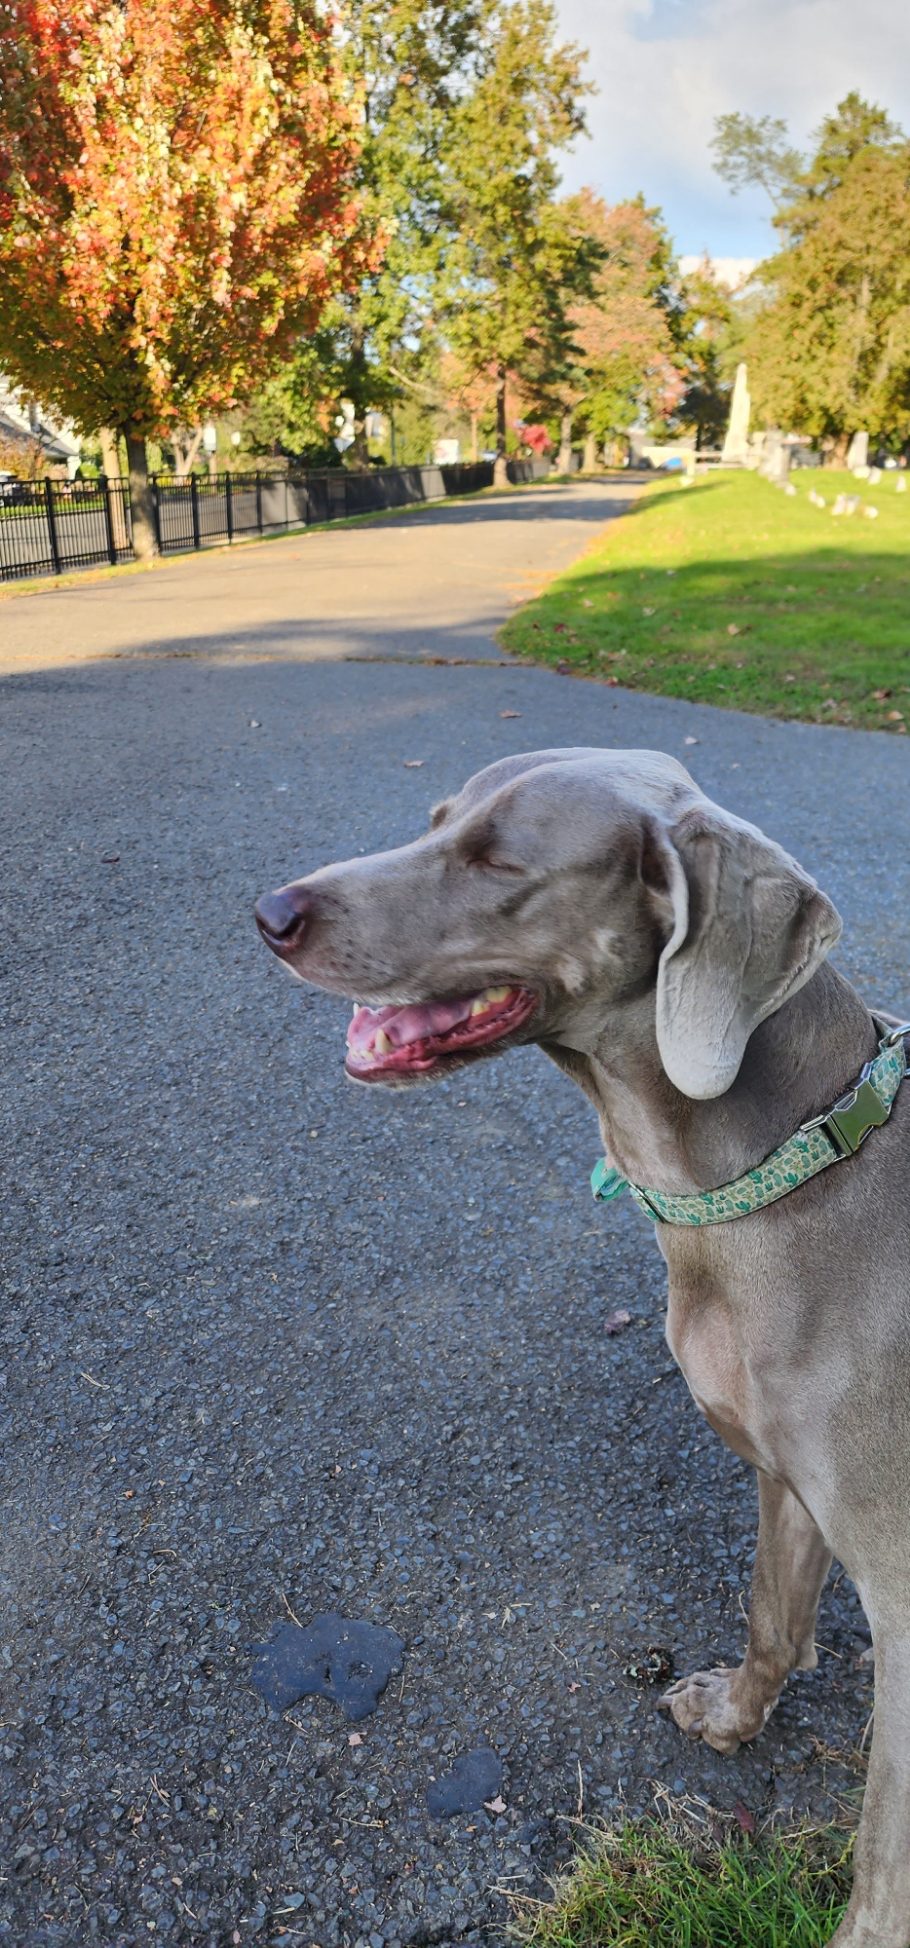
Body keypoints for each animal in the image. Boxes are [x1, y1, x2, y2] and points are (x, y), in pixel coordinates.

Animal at [255, 744, 910, 1948]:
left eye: (496, 860)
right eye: (435, 820)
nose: (268, 913)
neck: (779, 1170)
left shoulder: (902, 1585)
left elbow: (881, 1864)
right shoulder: (784, 1474)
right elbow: (770, 1615)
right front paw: (733, 1716)